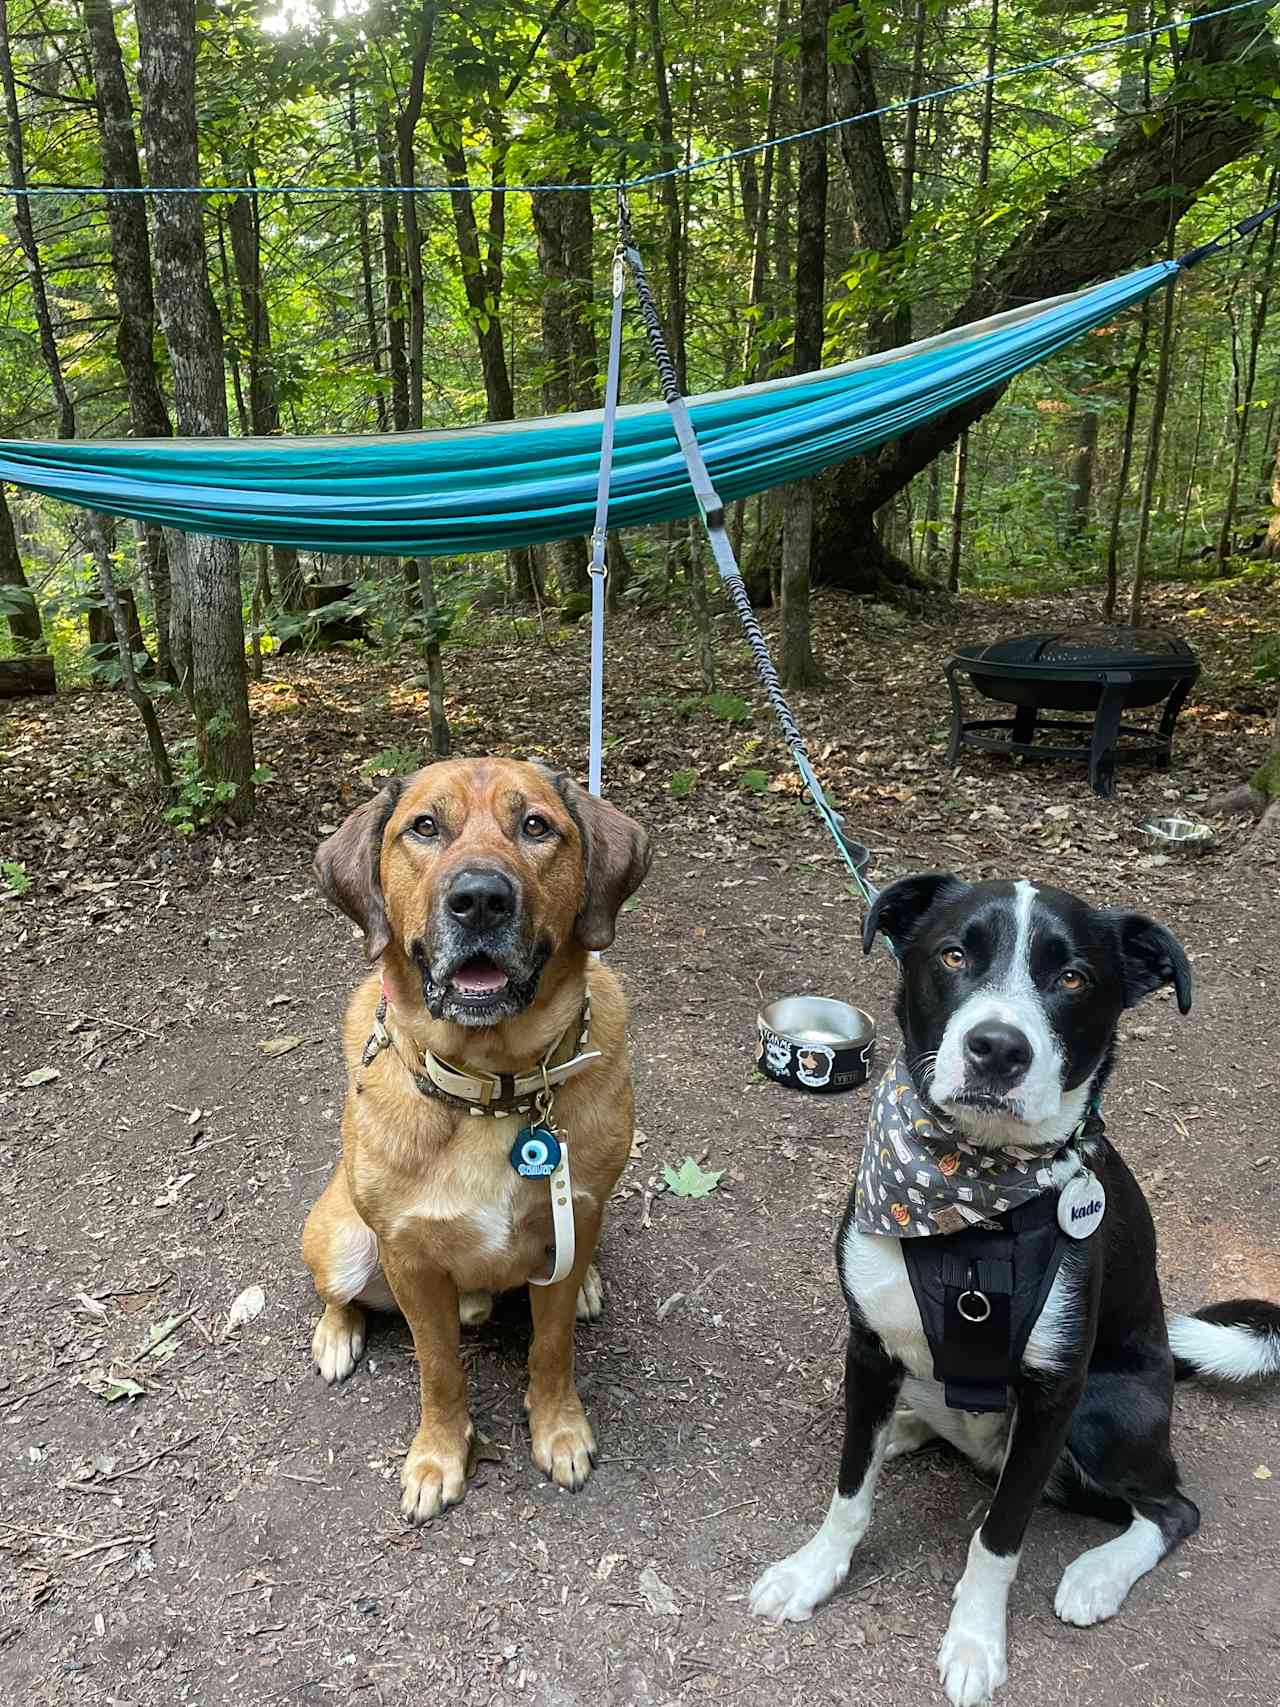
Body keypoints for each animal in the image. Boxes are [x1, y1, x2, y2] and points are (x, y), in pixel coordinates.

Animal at [300, 757, 651, 1522]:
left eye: (536, 826)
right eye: (425, 827)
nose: (481, 900)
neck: (495, 1085)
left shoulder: (570, 1220)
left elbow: (553, 1346)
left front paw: (559, 1428)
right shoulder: (407, 1259)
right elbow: (438, 1369)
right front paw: (437, 1458)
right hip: (342, 1241)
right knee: (339, 1292)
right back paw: (336, 1334)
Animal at [750, 880, 1280, 1707]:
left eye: (1073, 978)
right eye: (953, 954)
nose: (998, 1047)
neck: (970, 1211)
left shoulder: (1055, 1397)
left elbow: (998, 1538)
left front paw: (974, 1641)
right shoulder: (868, 1349)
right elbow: (849, 1491)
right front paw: (814, 1571)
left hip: (1104, 1412)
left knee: (1171, 1506)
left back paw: (1097, 1574)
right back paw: (908, 1427)